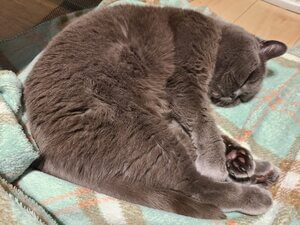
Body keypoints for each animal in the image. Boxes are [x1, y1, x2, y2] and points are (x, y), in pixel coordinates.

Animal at [24, 4, 288, 220]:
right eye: (249, 77)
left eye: (243, 98)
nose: (232, 98)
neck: (213, 30)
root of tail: (46, 156)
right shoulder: (185, 80)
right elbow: (204, 121)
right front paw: (217, 163)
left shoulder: (177, 105)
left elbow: (211, 131)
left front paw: (240, 159)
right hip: (144, 130)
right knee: (196, 185)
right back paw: (256, 196)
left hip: (159, 128)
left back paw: (258, 171)